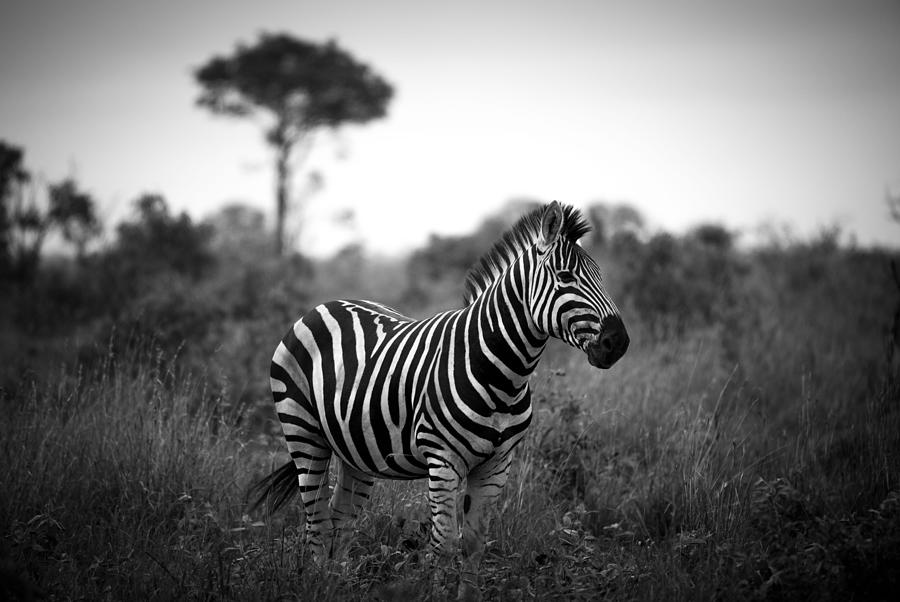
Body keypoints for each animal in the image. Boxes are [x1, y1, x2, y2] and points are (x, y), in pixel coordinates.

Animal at [250, 203, 628, 580]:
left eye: (601, 276)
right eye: (565, 277)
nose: (619, 343)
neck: (502, 374)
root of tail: (323, 306)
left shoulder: (497, 465)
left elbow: (473, 548)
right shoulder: (442, 460)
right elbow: (443, 546)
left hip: (356, 447)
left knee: (339, 518)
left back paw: (335, 583)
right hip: (303, 433)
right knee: (316, 522)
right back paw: (319, 582)